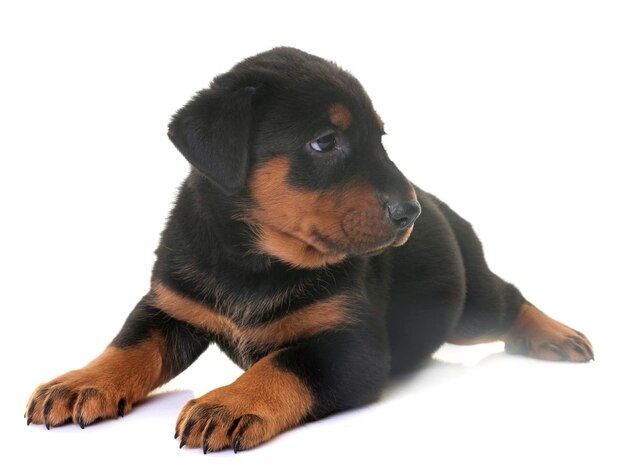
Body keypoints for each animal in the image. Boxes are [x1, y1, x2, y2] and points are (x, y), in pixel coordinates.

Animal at [25, 48, 588, 454]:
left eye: (380, 137)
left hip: (467, 308)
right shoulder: (171, 305)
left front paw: (228, 403)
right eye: (324, 142)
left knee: (509, 300)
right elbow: (128, 346)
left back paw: (558, 336)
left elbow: (285, 364)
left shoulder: (353, 347)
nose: (408, 213)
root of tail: (444, 208)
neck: (255, 258)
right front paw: (79, 383)